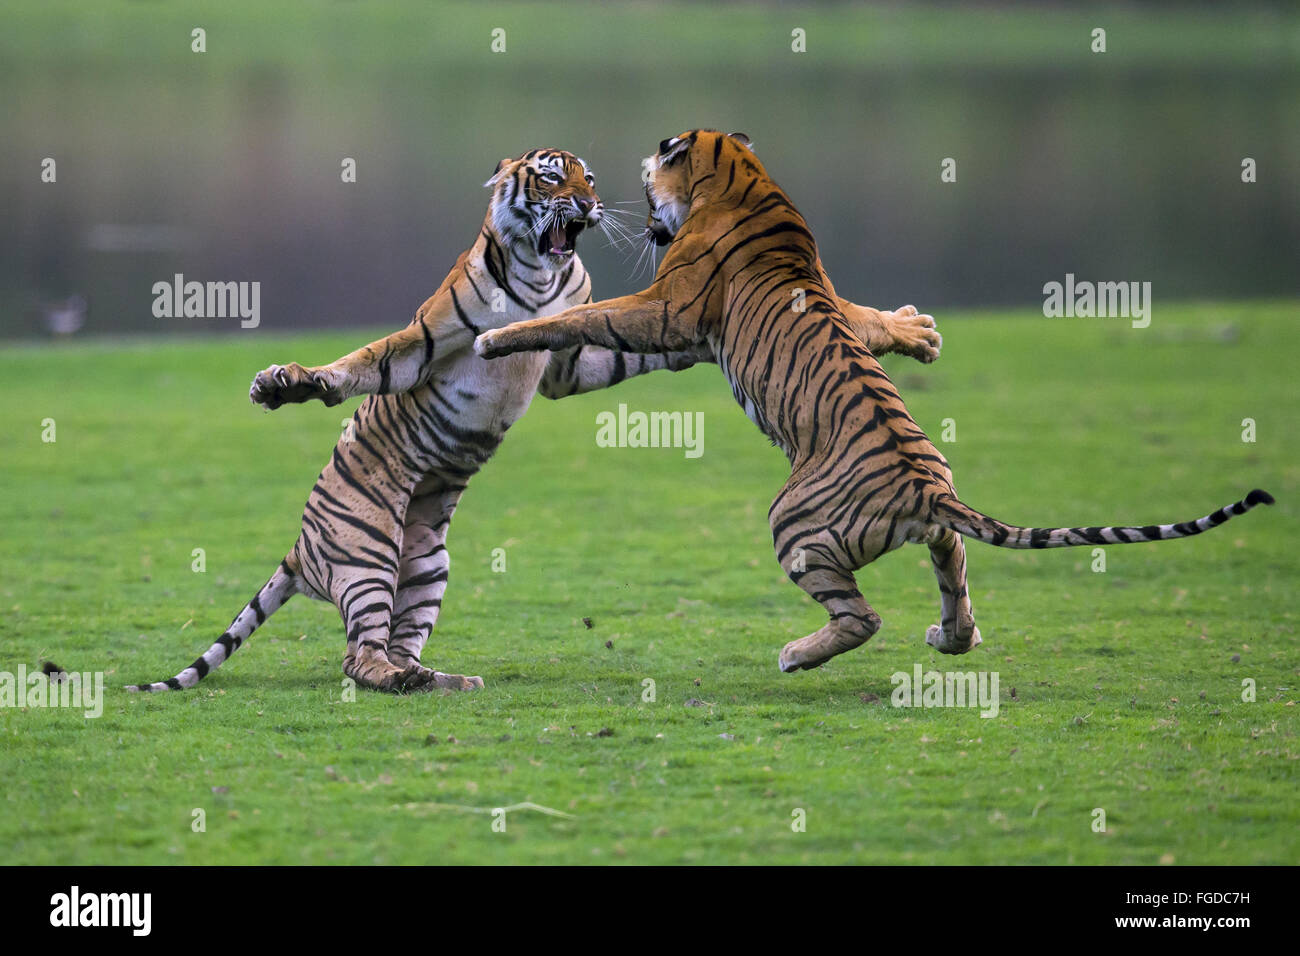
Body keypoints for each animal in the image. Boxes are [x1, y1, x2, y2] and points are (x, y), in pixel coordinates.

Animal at [473, 130, 1274, 676]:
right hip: (939, 533)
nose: (626, 199)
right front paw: (920, 333)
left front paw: (498, 337)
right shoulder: (826, 298)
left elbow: (582, 315)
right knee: (954, 583)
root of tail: (927, 488)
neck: (743, 178)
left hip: (791, 521)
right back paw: (950, 636)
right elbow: (869, 319)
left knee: (864, 616)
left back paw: (798, 654)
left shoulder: (667, 305)